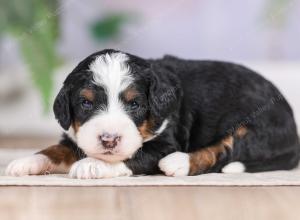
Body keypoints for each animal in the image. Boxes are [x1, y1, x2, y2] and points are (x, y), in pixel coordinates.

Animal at [5, 49, 300, 178]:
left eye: (135, 104)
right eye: (86, 103)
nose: (109, 139)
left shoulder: (166, 141)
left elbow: (134, 155)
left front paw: (92, 164)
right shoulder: (75, 136)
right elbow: (55, 149)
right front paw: (26, 161)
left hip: (255, 126)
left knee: (226, 151)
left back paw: (179, 163)